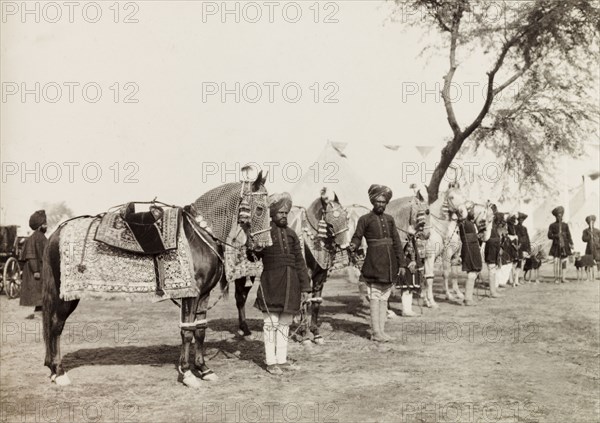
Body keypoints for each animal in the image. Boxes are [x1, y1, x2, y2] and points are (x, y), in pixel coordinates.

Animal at [43, 171, 274, 388]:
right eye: (260, 209)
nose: (263, 247)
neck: (200, 233)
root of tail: (56, 232)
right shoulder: (191, 294)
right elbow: (187, 331)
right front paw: (187, 373)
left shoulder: (204, 294)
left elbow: (200, 330)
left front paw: (204, 369)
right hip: (66, 297)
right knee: (55, 326)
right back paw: (59, 372)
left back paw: (52, 369)